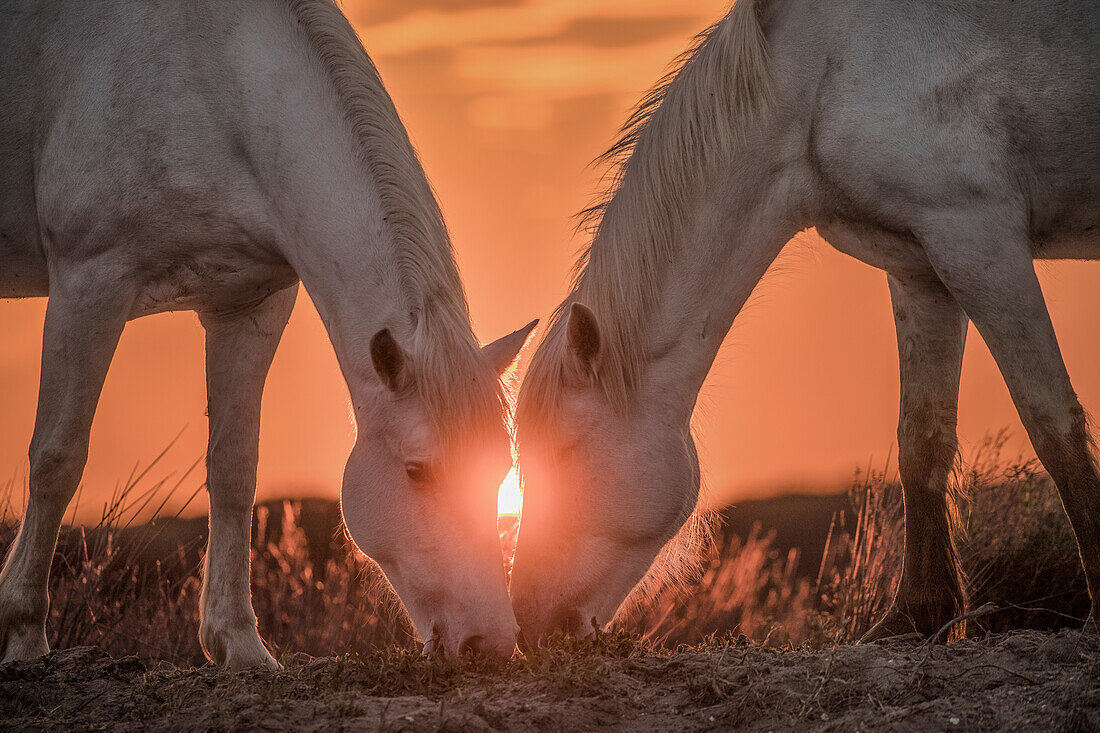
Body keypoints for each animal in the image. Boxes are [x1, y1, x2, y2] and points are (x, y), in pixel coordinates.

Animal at [0, 0, 532, 669]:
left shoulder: (249, 307)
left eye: (500, 470)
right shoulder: (88, 281)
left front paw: (239, 644)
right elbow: (57, 458)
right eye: (418, 472)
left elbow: (235, 470)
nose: (493, 644)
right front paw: (24, 635)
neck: (210, 81)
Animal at [514, 0, 1100, 642]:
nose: (527, 624)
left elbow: (1052, 423)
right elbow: (923, 438)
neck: (817, 77)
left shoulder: (978, 238)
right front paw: (915, 616)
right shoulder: (921, 266)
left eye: (564, 454)